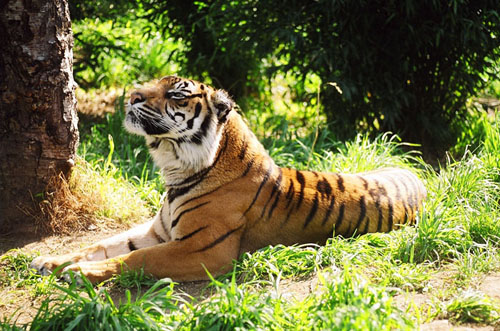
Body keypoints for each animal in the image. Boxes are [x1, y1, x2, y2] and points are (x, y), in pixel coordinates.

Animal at [31, 76, 428, 284]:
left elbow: (135, 259)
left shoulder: (203, 249)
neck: (176, 170)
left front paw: (79, 272)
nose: (132, 96)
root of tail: (414, 171)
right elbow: (103, 244)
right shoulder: (157, 231)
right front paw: (52, 261)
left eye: (175, 94)